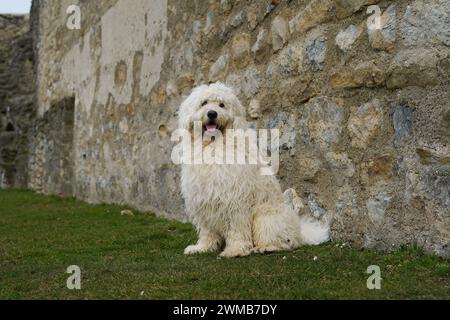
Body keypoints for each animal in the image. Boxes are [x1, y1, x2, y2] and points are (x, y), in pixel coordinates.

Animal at [179, 83, 330, 258]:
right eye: (204, 103)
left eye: (221, 105)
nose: (212, 113)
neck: (213, 145)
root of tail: (299, 231)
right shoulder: (203, 199)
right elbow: (207, 231)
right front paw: (202, 247)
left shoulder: (234, 200)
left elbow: (236, 229)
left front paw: (236, 249)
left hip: (265, 215)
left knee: (284, 241)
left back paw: (266, 247)